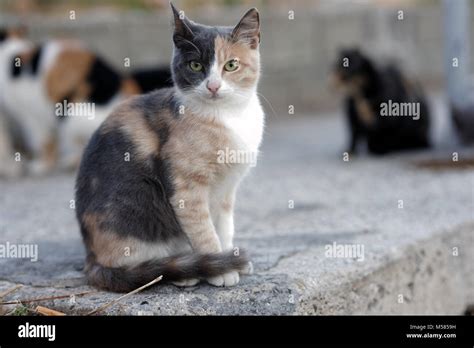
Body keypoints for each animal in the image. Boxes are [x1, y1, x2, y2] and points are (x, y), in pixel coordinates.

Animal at [76, 3, 264, 290]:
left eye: (231, 65)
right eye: (195, 65)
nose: (213, 85)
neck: (226, 117)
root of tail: (91, 259)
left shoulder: (227, 189)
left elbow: (225, 227)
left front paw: (228, 258)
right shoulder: (186, 189)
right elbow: (204, 231)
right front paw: (220, 269)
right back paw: (183, 271)